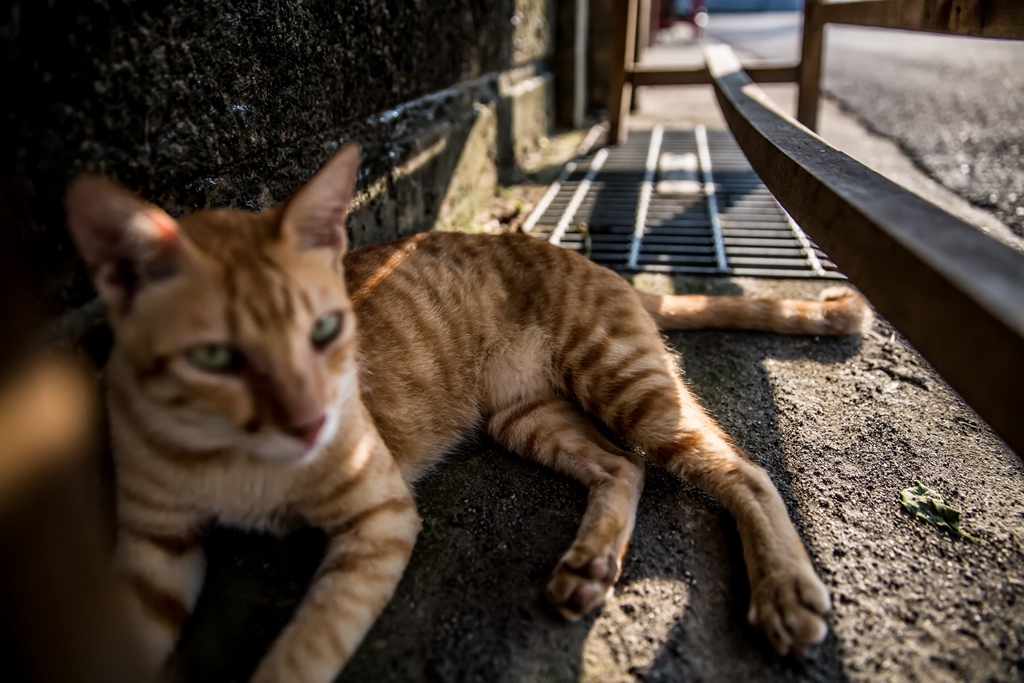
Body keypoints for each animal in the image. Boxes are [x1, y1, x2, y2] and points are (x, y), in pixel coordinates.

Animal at [66, 144, 864, 683]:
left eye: (325, 331)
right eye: (214, 357)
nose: (309, 420)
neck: (230, 459)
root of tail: (604, 266)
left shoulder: (380, 515)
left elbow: (305, 648)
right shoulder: (152, 550)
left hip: (627, 383)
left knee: (742, 469)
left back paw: (783, 588)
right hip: (528, 416)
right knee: (621, 467)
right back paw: (589, 562)